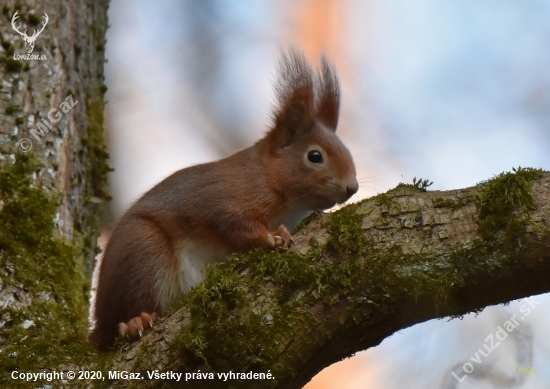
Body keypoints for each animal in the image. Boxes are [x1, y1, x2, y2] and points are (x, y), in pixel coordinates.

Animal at [89, 49, 360, 348]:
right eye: (315, 156)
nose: (352, 187)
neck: (268, 176)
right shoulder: (227, 198)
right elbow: (235, 225)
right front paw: (273, 236)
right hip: (144, 252)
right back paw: (135, 322)